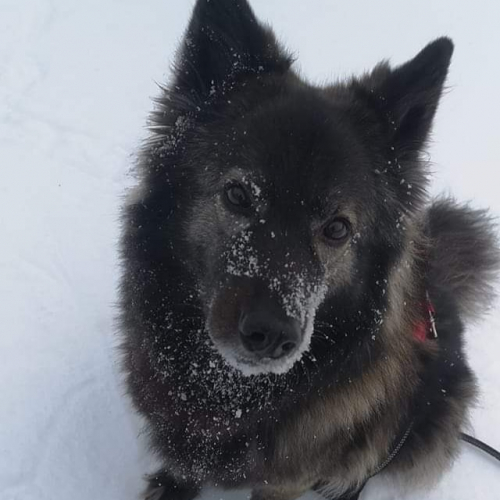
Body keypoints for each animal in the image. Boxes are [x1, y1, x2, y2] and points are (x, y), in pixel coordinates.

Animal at [118, 0, 500, 500]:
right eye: (238, 195)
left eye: (336, 229)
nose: (272, 336)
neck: (229, 394)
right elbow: (184, 467)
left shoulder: (287, 479)